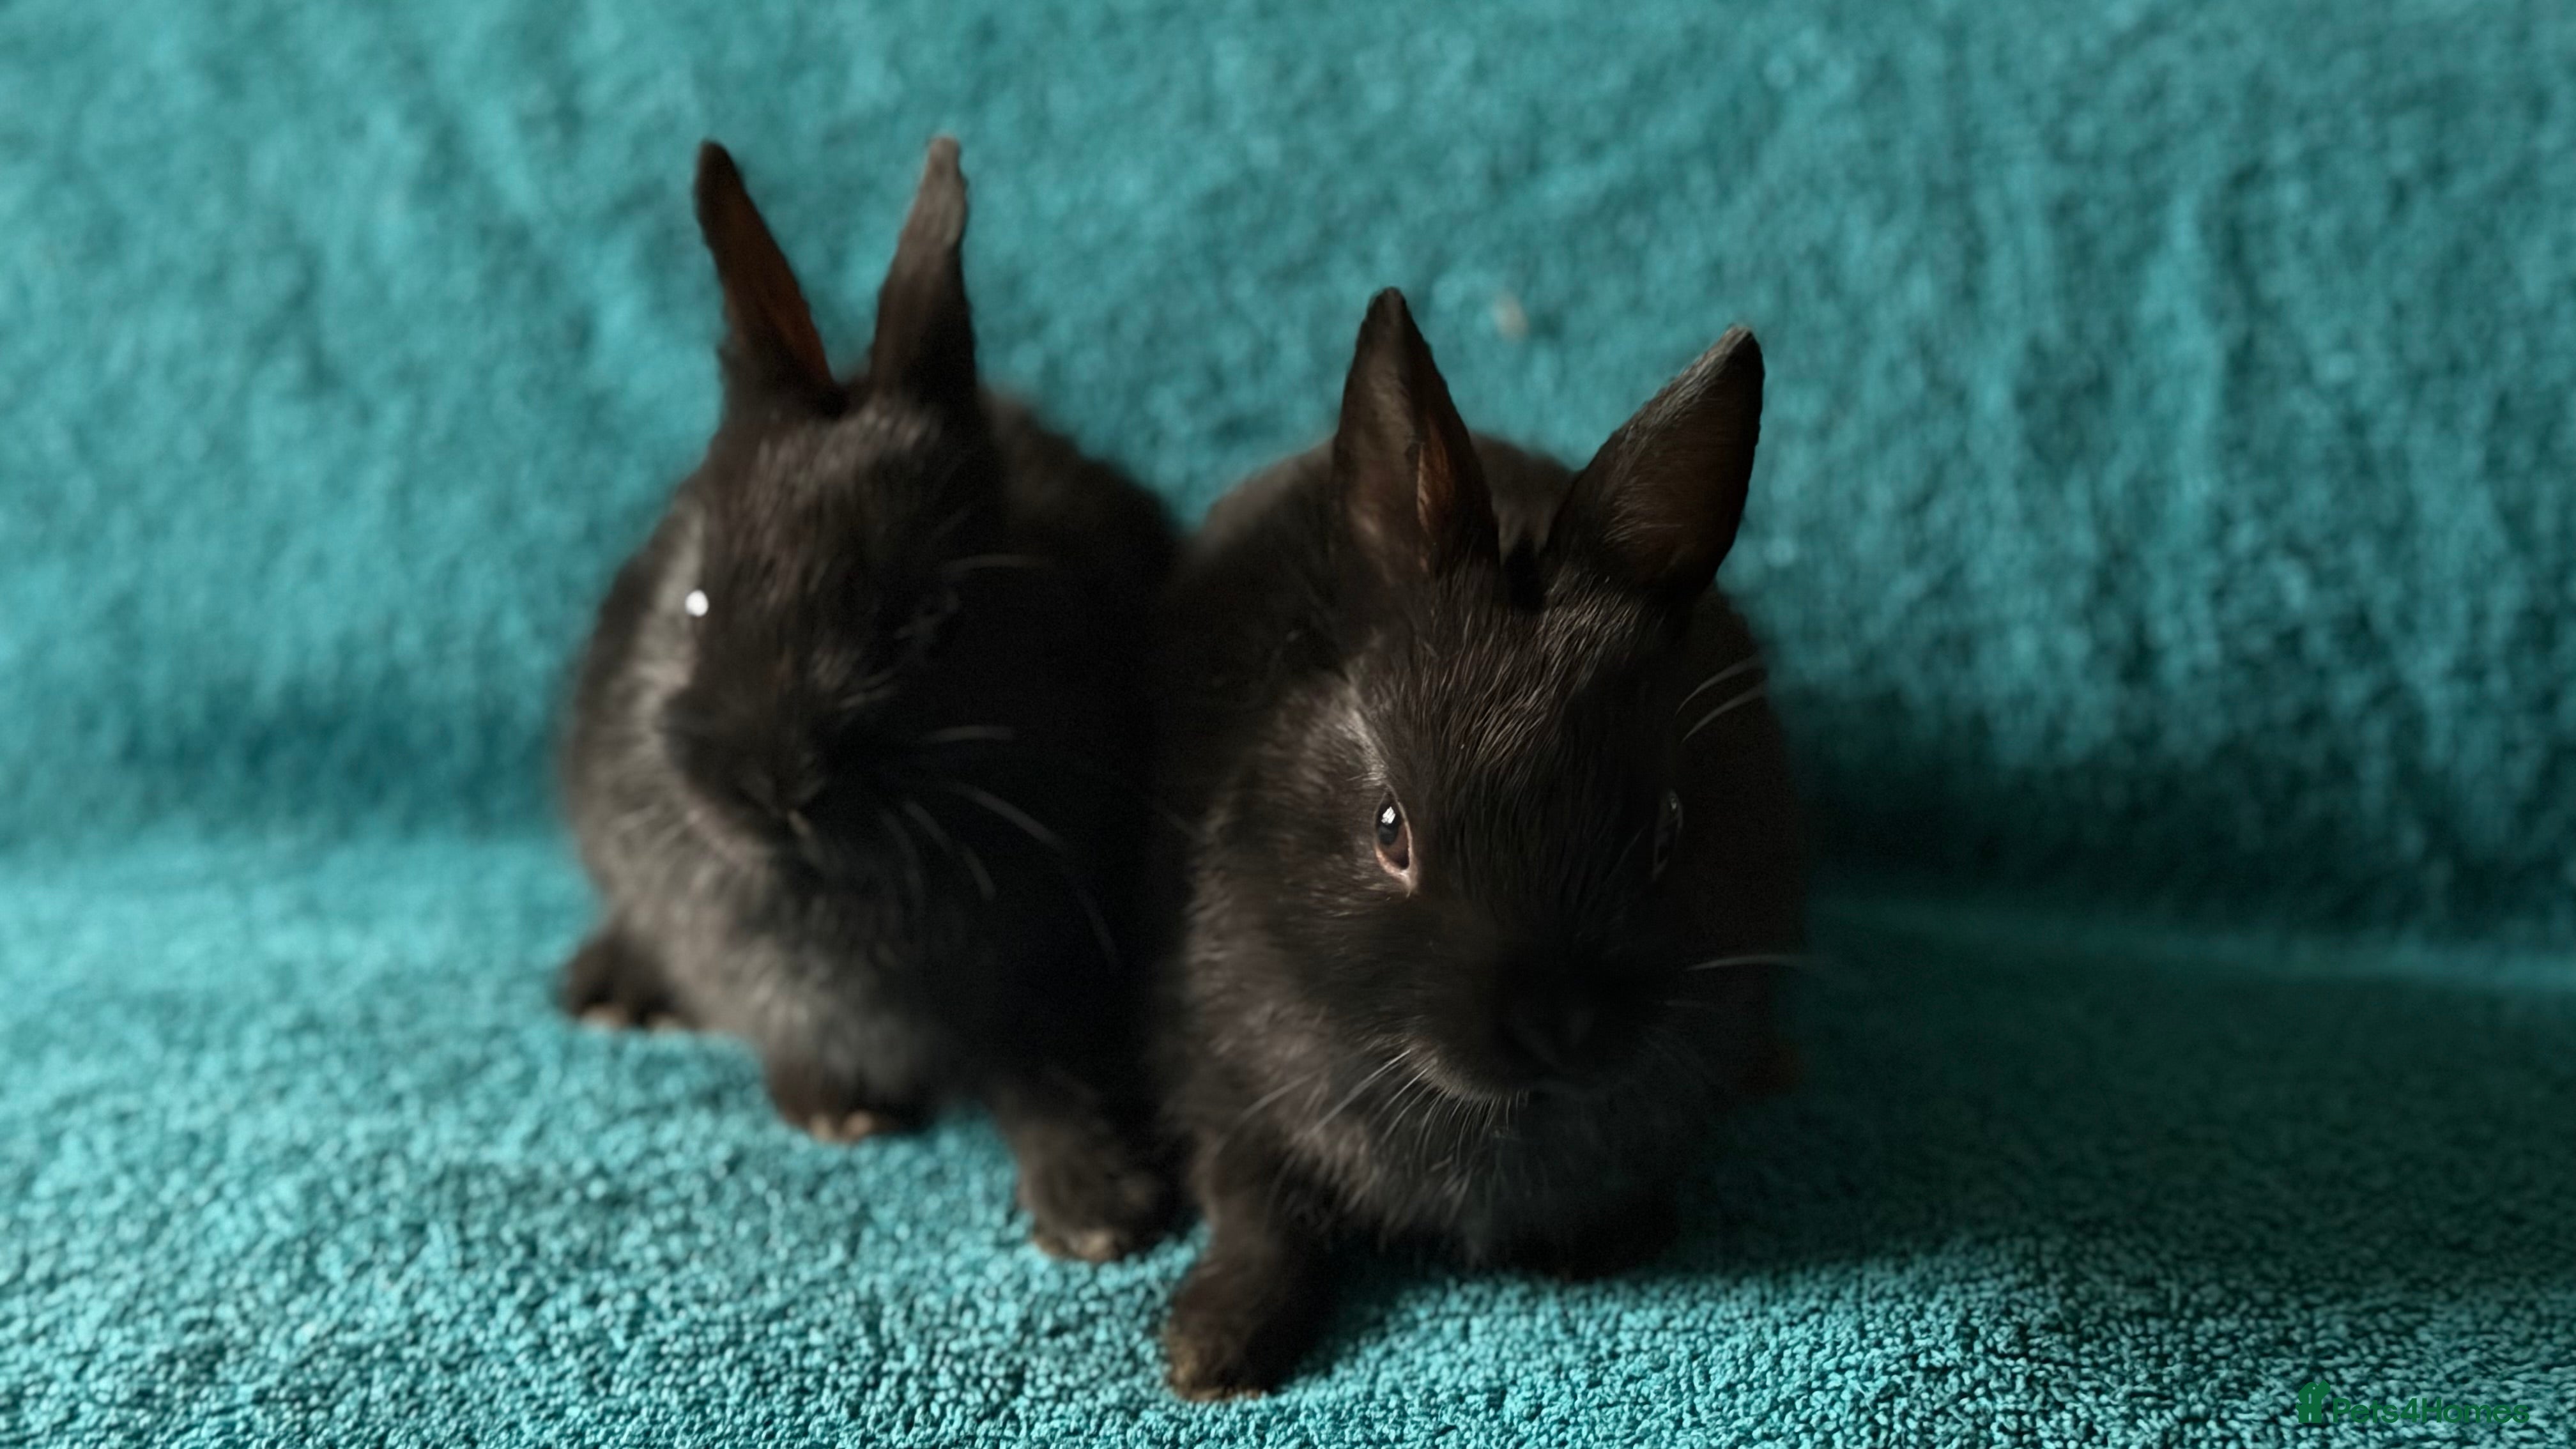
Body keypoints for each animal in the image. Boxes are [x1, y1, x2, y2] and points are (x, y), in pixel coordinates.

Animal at [556, 136, 1177, 1262]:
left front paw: (1100, 1209)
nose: (774, 784)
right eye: (698, 601)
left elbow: (1043, 1072)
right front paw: (833, 1111)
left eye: (935, 618)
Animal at [1149, 289, 1805, 1396]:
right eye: (1390, 830)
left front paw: (1602, 1244)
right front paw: (1213, 1347)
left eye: (1668, 829)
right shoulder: (1222, 1081)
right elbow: (1255, 1212)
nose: (1557, 1024)